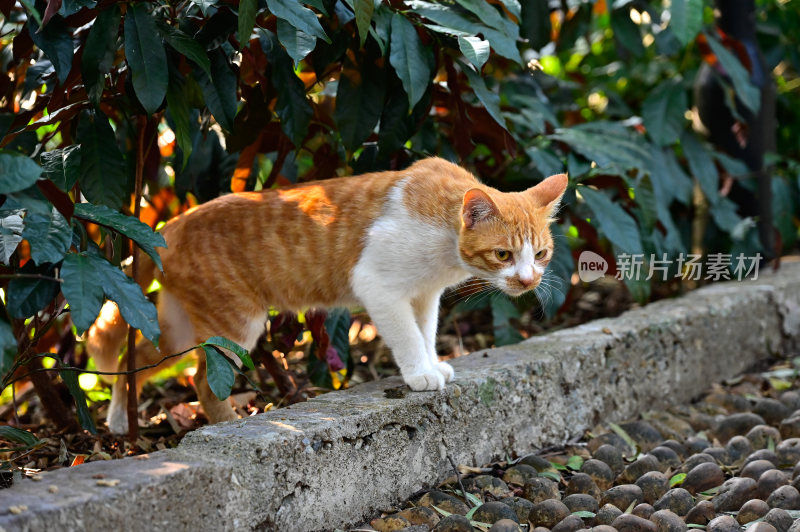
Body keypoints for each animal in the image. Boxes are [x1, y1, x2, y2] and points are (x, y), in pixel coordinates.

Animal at [86, 157, 568, 432]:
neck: (445, 242)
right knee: (203, 382)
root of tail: (170, 224)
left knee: (134, 362)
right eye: (504, 254)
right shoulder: (379, 286)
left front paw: (433, 364)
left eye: (541, 253)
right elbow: (408, 337)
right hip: (235, 325)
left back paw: (118, 421)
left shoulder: (423, 295)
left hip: (177, 328)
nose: (528, 280)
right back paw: (224, 427)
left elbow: (426, 332)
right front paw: (420, 374)